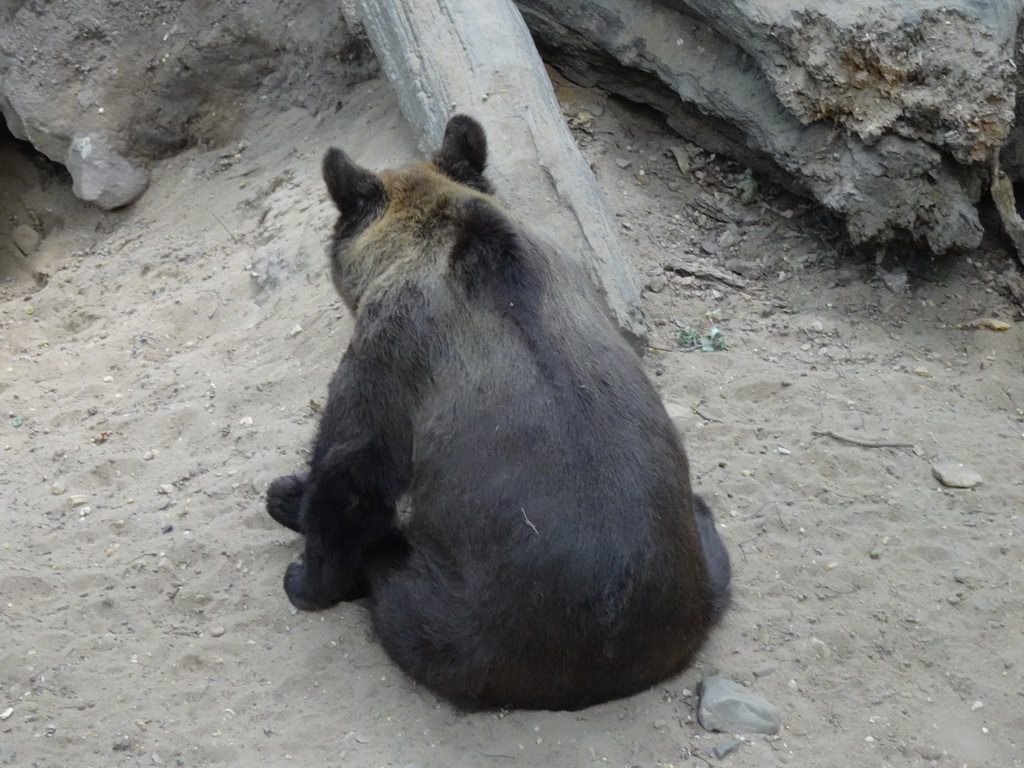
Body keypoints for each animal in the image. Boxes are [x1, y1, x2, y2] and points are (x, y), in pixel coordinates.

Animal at [264, 114, 729, 708]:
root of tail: (622, 663)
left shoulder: (389, 352)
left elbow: (352, 468)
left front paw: (306, 575)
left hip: (463, 628)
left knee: (396, 585)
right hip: (699, 571)